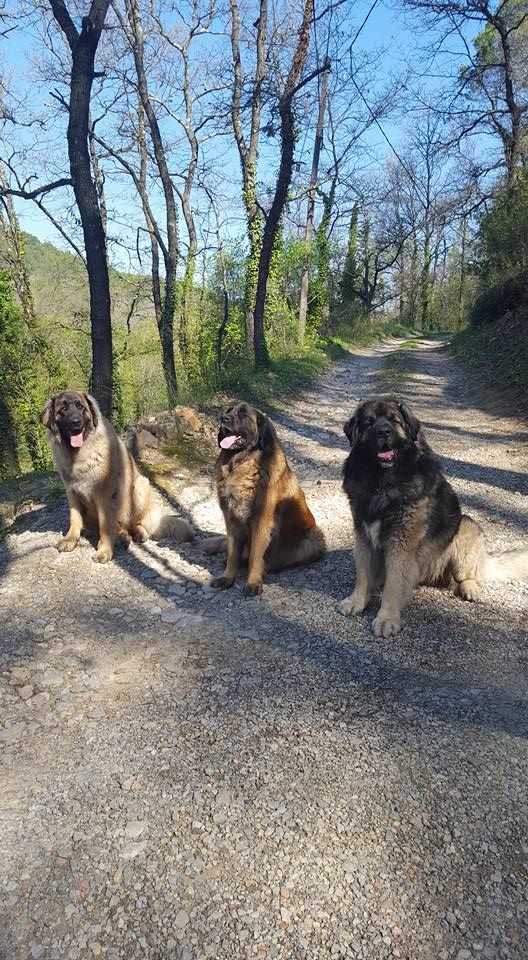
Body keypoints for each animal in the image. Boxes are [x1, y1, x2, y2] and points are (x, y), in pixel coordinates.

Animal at [39, 390, 193, 564]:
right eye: (62, 409)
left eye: (80, 407)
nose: (75, 422)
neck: (78, 455)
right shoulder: (72, 492)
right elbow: (75, 518)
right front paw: (70, 539)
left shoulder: (104, 495)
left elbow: (106, 528)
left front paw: (105, 551)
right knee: (120, 527)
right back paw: (122, 537)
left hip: (139, 486)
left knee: (134, 523)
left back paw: (137, 534)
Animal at [211, 398, 326, 592]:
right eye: (228, 411)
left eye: (243, 414)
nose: (223, 418)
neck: (242, 463)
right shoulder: (231, 518)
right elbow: (233, 552)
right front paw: (227, 578)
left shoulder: (261, 519)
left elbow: (255, 555)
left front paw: (253, 583)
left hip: (313, 538)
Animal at [338, 398, 528, 636]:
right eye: (369, 422)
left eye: (394, 420)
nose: (383, 432)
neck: (382, 482)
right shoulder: (363, 535)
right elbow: (363, 573)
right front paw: (357, 601)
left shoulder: (401, 543)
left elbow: (393, 584)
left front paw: (387, 618)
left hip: (466, 526)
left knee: (466, 576)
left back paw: (470, 588)